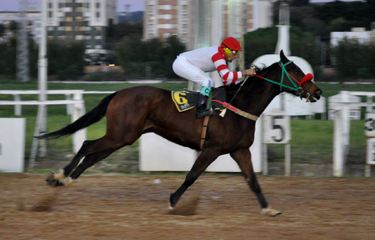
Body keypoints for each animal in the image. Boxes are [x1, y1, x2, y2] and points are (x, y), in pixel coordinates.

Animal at [40, 50, 324, 216]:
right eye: (296, 71)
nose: (317, 91)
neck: (238, 107)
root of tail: (119, 93)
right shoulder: (212, 149)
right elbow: (192, 176)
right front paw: (173, 200)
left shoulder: (240, 150)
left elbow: (252, 180)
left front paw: (268, 208)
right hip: (122, 134)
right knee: (88, 145)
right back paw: (60, 176)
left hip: (123, 136)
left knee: (92, 155)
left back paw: (64, 179)